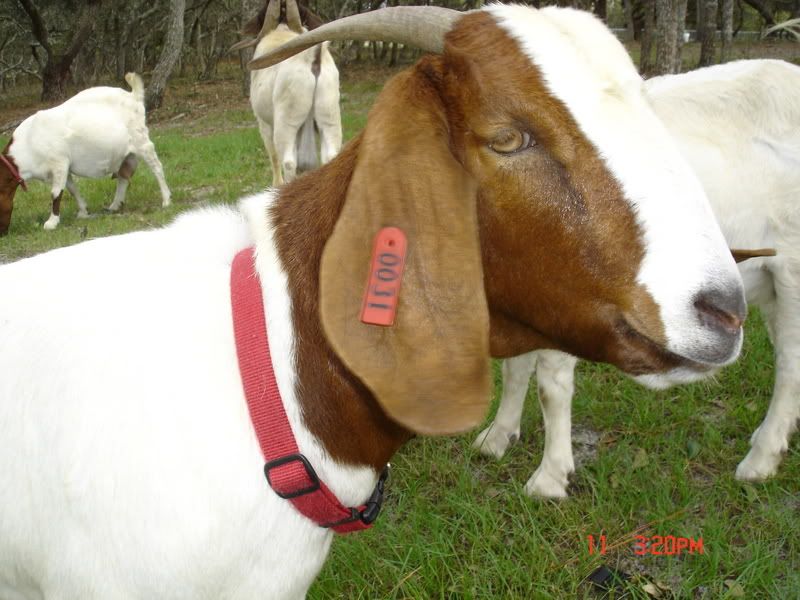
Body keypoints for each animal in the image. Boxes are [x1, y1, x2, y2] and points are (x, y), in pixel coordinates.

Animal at [0, 73, 170, 235]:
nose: (3, 234)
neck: (28, 142)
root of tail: (133, 96)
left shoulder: (59, 162)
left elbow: (56, 193)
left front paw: (52, 222)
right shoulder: (65, 167)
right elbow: (72, 189)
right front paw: (83, 212)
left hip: (141, 140)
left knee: (156, 167)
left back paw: (166, 200)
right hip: (126, 154)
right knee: (123, 176)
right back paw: (114, 206)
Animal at [233, 0, 342, 185]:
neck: (281, 30)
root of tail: (311, 56)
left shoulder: (264, 122)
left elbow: (273, 155)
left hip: (287, 120)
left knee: (289, 162)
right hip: (329, 115)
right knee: (331, 156)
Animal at [475, 58, 800, 498]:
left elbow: (551, 386)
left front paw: (549, 479)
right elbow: (516, 368)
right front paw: (496, 438)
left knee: (790, 365)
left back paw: (759, 461)